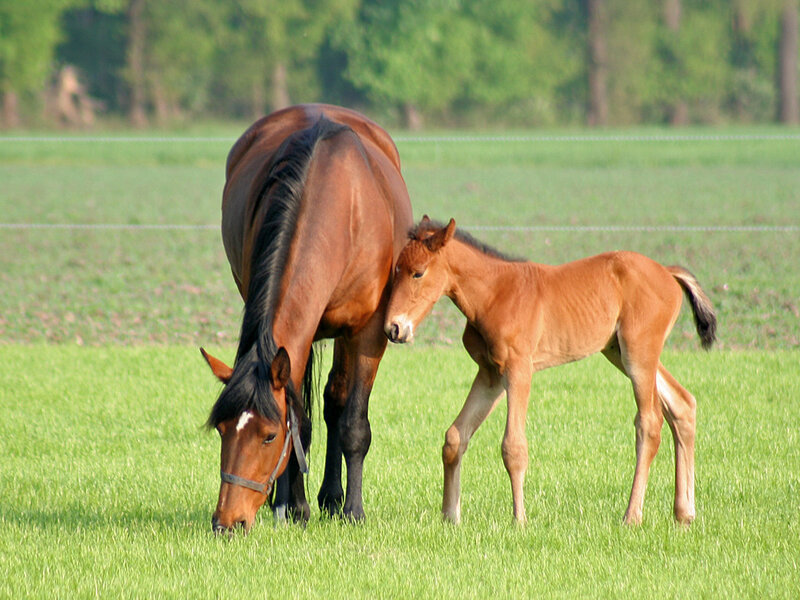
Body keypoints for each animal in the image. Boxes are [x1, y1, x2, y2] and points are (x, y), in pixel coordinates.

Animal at [200, 104, 413, 534]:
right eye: (222, 429)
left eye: (267, 436)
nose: (226, 522)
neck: (340, 205)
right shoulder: (294, 338)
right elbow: (299, 419)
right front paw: (293, 506)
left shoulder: (367, 333)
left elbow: (352, 424)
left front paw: (353, 511)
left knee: (337, 401)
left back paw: (333, 498)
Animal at [384, 217, 716, 526]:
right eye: (396, 270)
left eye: (418, 272)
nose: (393, 328)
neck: (495, 294)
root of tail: (667, 271)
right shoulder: (490, 374)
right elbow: (455, 437)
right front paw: (450, 517)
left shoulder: (519, 370)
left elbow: (513, 447)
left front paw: (519, 519)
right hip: (620, 353)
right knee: (682, 404)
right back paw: (684, 514)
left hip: (638, 354)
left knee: (649, 423)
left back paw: (632, 516)